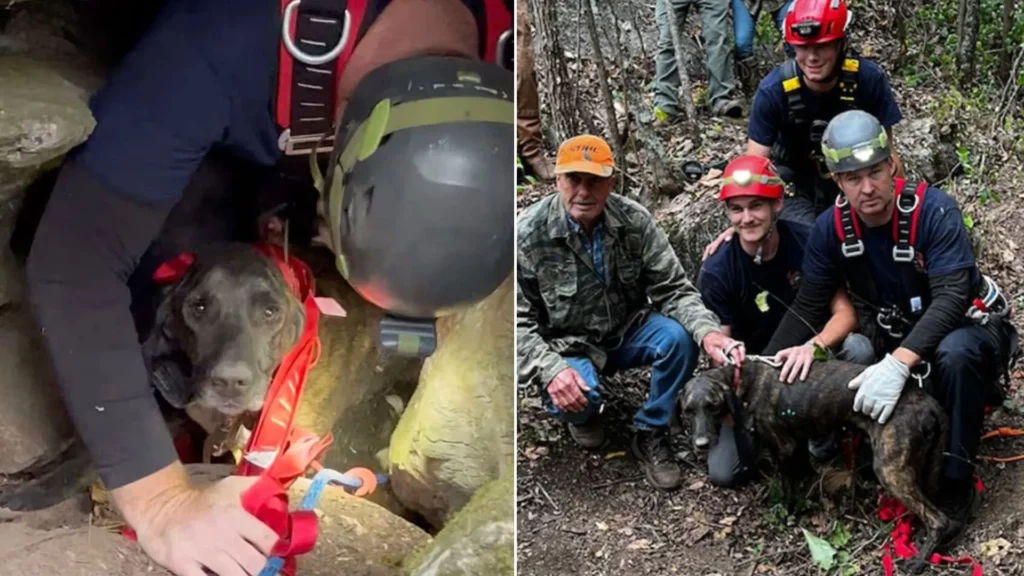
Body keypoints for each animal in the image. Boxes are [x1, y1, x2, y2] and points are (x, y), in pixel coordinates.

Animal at [684, 358, 954, 569]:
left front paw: (787, 512)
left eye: (713, 406)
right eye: (688, 410)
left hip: (890, 470)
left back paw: (918, 561)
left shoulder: (785, 446)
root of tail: (929, 403)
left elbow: (788, 487)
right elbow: (801, 472)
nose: (701, 444)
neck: (742, 380)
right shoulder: (797, 444)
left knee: (939, 519)